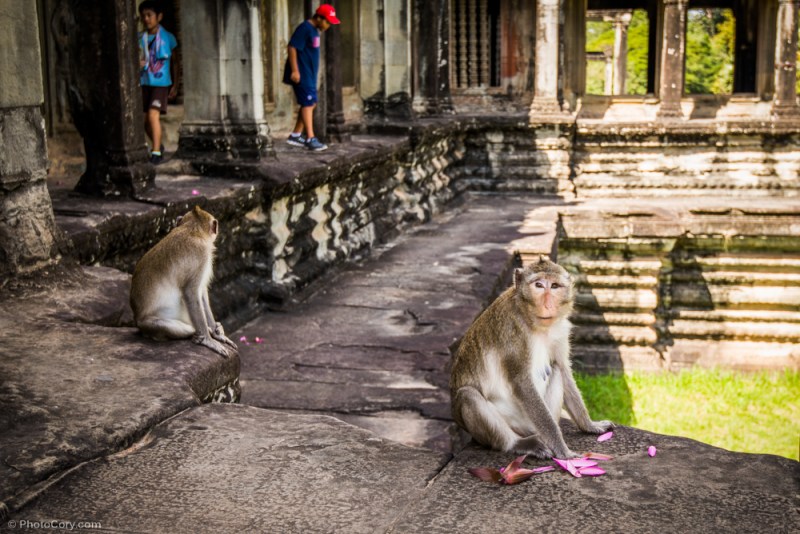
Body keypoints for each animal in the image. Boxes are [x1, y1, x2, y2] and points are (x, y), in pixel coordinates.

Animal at [130, 206, 238, 359]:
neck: (192, 230)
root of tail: (136, 319)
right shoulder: (202, 255)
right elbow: (191, 293)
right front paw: (209, 339)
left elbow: (201, 293)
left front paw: (217, 334)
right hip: (148, 324)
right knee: (167, 327)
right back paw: (198, 335)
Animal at [450, 255, 613, 459]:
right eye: (539, 285)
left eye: (555, 286)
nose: (547, 304)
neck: (532, 321)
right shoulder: (512, 333)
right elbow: (522, 382)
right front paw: (563, 451)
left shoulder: (559, 332)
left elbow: (563, 369)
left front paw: (590, 425)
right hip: (513, 425)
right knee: (467, 395)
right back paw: (518, 444)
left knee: (556, 369)